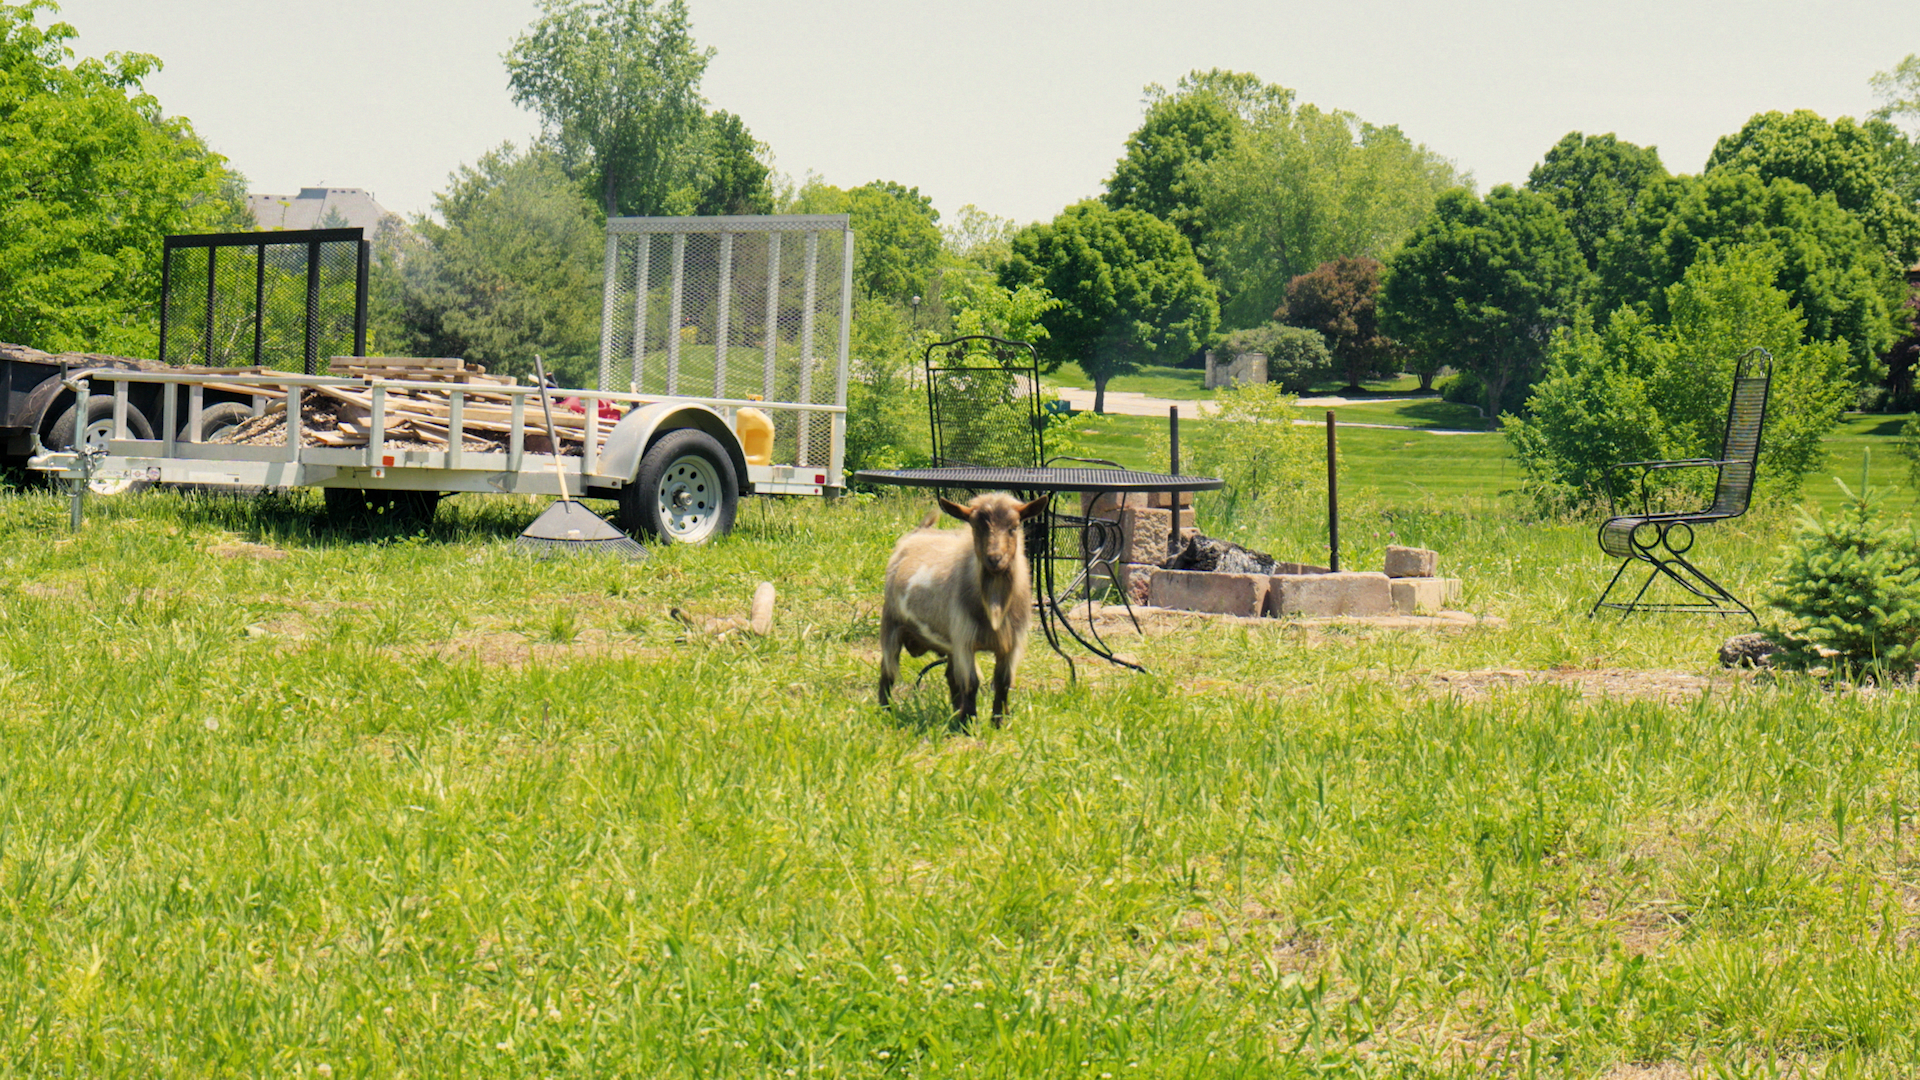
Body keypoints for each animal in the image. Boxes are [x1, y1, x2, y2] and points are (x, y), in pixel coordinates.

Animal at [878, 491, 1051, 727]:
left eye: (1014, 527)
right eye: (976, 527)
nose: (994, 559)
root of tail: (917, 533)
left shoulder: (1010, 642)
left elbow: (1003, 682)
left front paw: (997, 723)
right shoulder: (965, 639)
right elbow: (971, 683)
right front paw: (969, 724)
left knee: (950, 676)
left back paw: (954, 714)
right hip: (892, 624)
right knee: (888, 669)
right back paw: (885, 710)